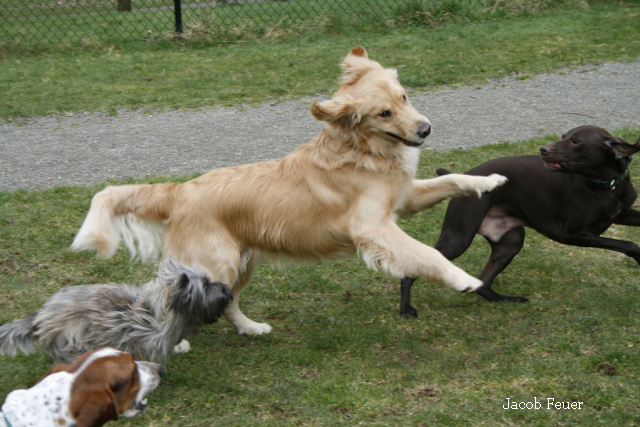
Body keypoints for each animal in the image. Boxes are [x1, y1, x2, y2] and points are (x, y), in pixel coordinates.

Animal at [400, 125, 640, 316]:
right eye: (564, 136)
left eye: (575, 141)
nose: (543, 149)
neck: (607, 187)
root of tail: (465, 175)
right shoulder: (573, 234)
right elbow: (630, 245)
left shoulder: (622, 215)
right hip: (458, 238)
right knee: (412, 272)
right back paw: (406, 309)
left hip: (511, 242)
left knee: (483, 284)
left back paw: (507, 300)